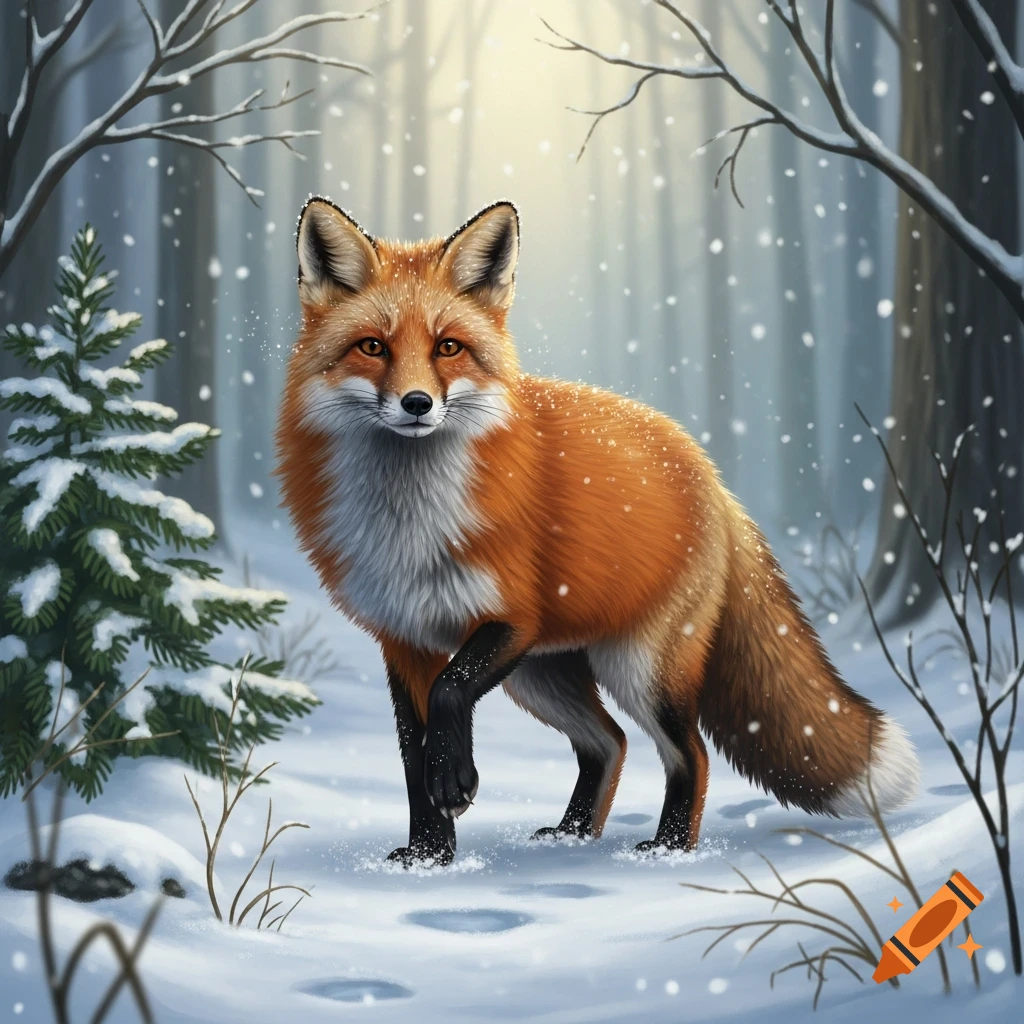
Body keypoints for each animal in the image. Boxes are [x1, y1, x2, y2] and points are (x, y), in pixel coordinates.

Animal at [274, 196, 921, 866]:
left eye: (448, 347)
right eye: (372, 347)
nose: (418, 404)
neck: (408, 523)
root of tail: (712, 476)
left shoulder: (513, 617)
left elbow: (450, 697)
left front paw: (454, 783)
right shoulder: (403, 641)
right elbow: (410, 754)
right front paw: (429, 856)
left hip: (637, 670)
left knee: (689, 753)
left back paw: (669, 847)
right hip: (540, 675)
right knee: (609, 742)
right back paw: (575, 831)